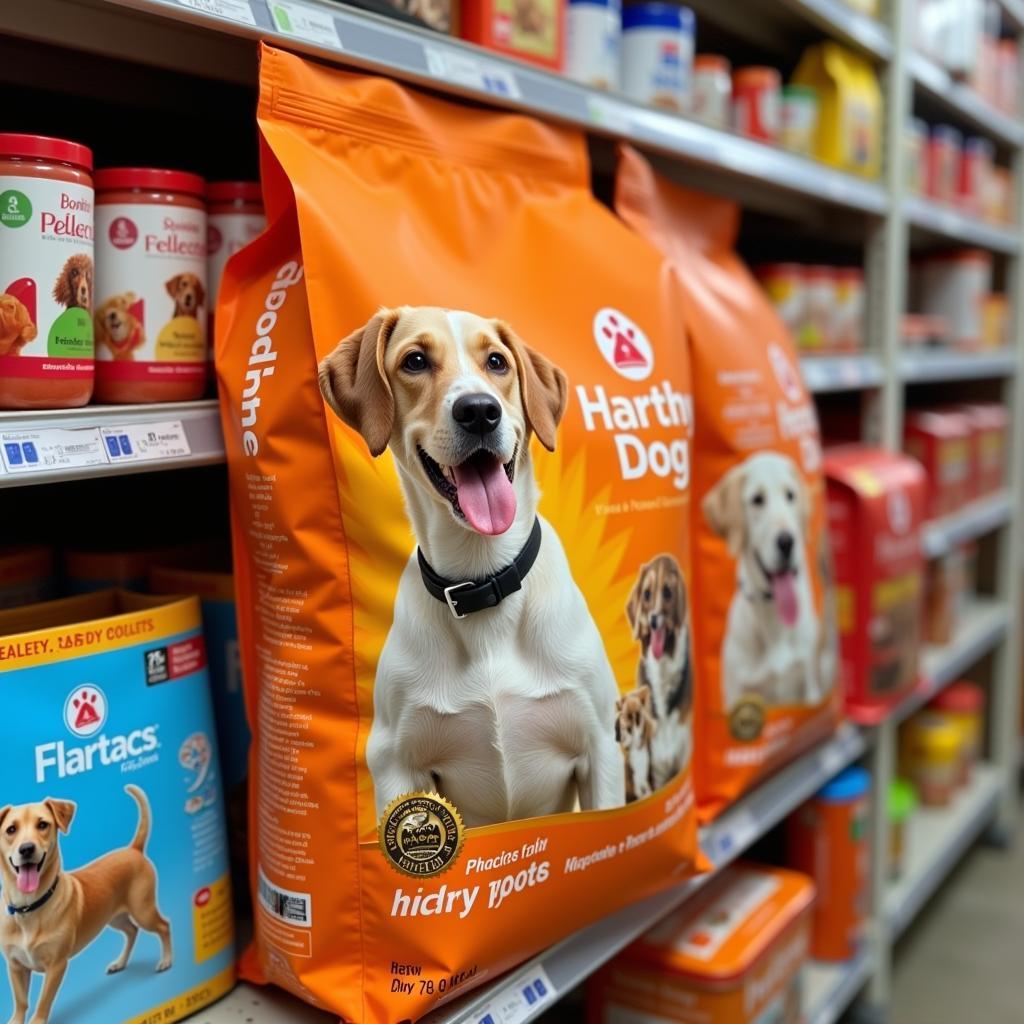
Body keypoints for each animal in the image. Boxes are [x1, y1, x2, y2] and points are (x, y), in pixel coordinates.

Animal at [0, 786, 169, 1019]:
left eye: (42, 824)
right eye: (11, 829)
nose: (26, 849)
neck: (28, 907)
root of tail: (133, 849)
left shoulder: (56, 966)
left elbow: (43, 1003)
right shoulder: (15, 966)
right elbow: (20, 1002)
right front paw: (16, 1020)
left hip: (143, 910)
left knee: (163, 926)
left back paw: (166, 960)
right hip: (114, 917)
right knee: (132, 931)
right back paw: (120, 963)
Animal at [319, 305, 622, 831]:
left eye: (497, 361)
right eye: (415, 360)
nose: (479, 410)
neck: (483, 578)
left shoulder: (601, 747)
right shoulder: (394, 763)